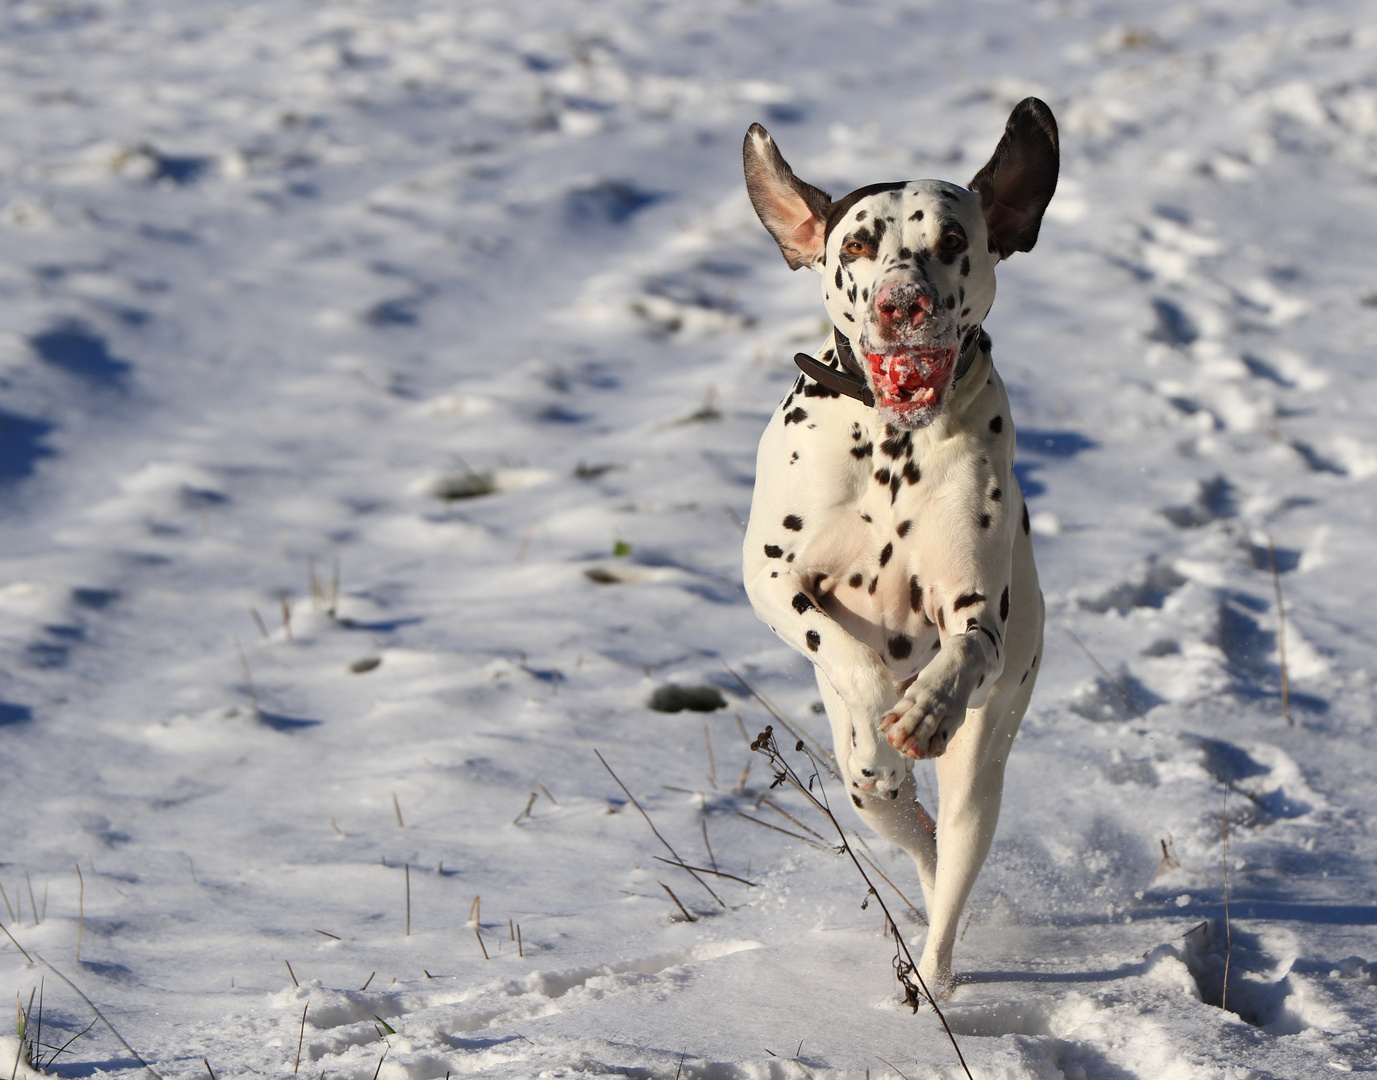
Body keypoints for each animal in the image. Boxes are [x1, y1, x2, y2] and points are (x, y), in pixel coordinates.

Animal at [743, 101, 1052, 997]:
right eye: (853, 246)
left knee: (950, 855)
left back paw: (935, 974)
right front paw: (881, 709)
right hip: (867, 796)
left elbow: (962, 649)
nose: (901, 302)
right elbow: (844, 650)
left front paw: (922, 707)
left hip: (985, 764)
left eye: (951, 241)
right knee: (896, 814)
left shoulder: (979, 614)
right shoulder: (768, 576)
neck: (891, 446)